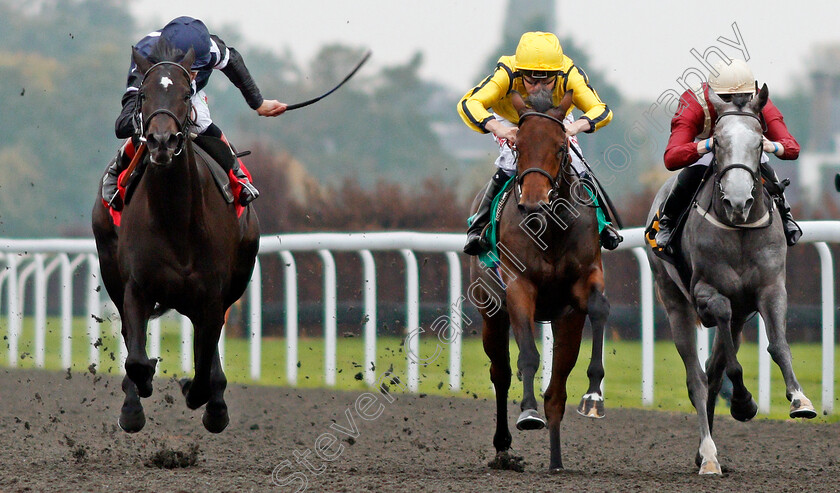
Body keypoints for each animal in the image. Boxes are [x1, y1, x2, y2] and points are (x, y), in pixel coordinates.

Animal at [88, 43, 260, 434]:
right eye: (145, 95)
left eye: (184, 94)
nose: (161, 140)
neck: (176, 218)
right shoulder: (137, 287)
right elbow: (136, 359)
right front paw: (138, 395)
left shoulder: (212, 296)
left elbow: (203, 367)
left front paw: (205, 399)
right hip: (111, 271)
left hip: (232, 284)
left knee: (209, 348)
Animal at [472, 90, 612, 470]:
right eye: (518, 146)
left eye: (562, 147)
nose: (534, 204)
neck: (549, 228)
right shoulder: (519, 287)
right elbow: (528, 358)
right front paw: (528, 413)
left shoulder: (585, 281)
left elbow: (599, 308)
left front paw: (594, 396)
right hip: (492, 314)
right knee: (501, 374)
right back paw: (503, 449)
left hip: (567, 322)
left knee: (557, 390)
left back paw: (556, 461)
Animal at [648, 83, 816, 472]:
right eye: (720, 142)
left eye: (758, 143)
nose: (738, 201)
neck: (738, 229)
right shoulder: (707, 293)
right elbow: (730, 364)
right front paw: (742, 402)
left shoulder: (771, 289)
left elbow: (777, 344)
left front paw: (799, 399)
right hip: (674, 301)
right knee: (697, 377)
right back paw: (709, 454)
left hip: (741, 314)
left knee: (713, 370)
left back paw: (703, 451)